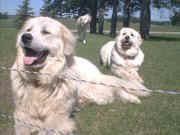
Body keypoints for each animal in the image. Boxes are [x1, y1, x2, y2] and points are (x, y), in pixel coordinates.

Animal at [10, 17, 149, 135]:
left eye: (45, 32)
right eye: (28, 30)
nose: (25, 37)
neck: (38, 81)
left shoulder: (58, 117)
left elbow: (47, 129)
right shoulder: (22, 113)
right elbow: (22, 128)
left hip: (90, 88)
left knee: (114, 91)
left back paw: (133, 99)